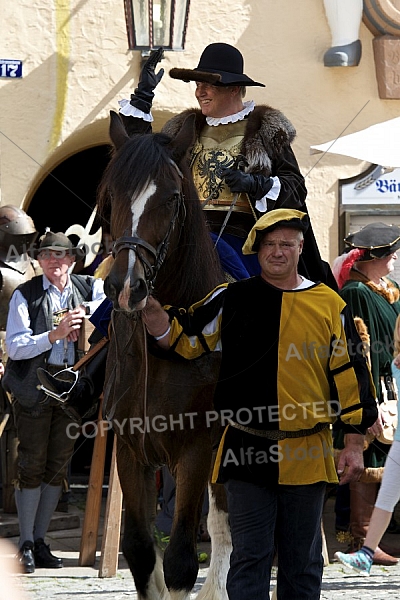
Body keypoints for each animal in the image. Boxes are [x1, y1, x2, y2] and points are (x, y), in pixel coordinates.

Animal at [97, 110, 231, 596]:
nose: (126, 286)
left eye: (172, 199)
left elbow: (180, 563)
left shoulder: (196, 452)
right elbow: (139, 553)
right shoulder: (131, 454)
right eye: (111, 196)